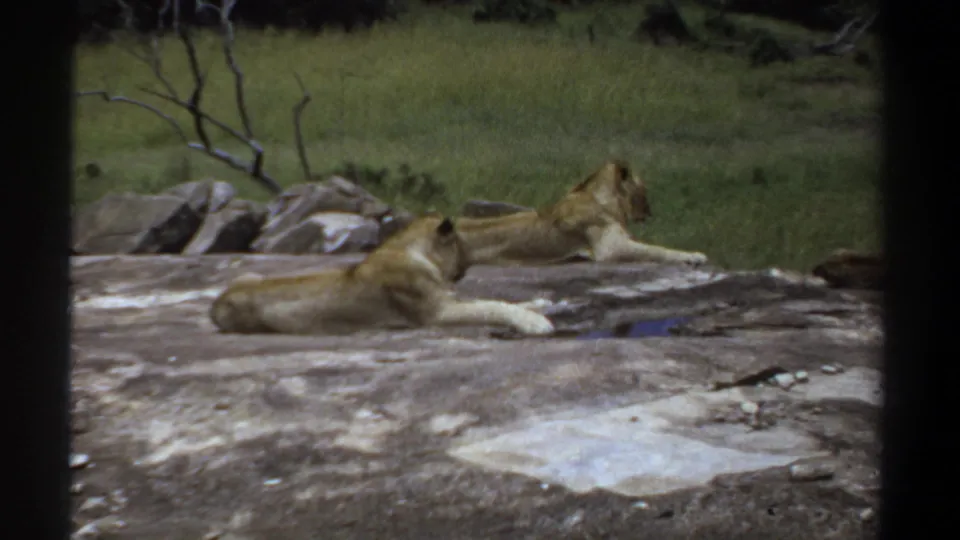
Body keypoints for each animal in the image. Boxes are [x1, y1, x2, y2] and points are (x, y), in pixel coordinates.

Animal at [209, 214, 555, 336]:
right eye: (460, 243)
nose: (464, 269)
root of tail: (215, 304)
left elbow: (496, 299)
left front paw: (541, 304)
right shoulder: (436, 312)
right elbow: (492, 305)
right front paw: (536, 322)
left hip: (250, 274)